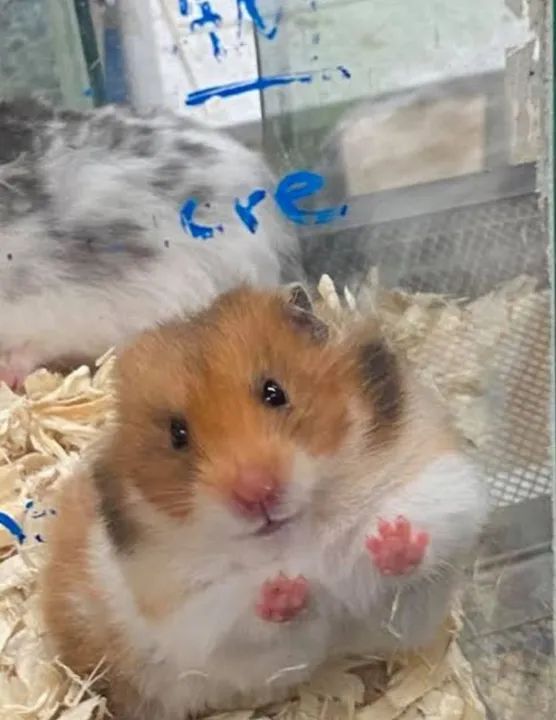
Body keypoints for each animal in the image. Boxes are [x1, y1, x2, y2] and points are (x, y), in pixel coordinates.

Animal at [40, 284, 490, 720]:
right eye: (177, 434)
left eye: (274, 392)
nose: (256, 493)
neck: (295, 531)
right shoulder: (193, 612)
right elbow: (244, 614)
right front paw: (284, 589)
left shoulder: (440, 486)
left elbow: (417, 546)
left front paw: (393, 539)